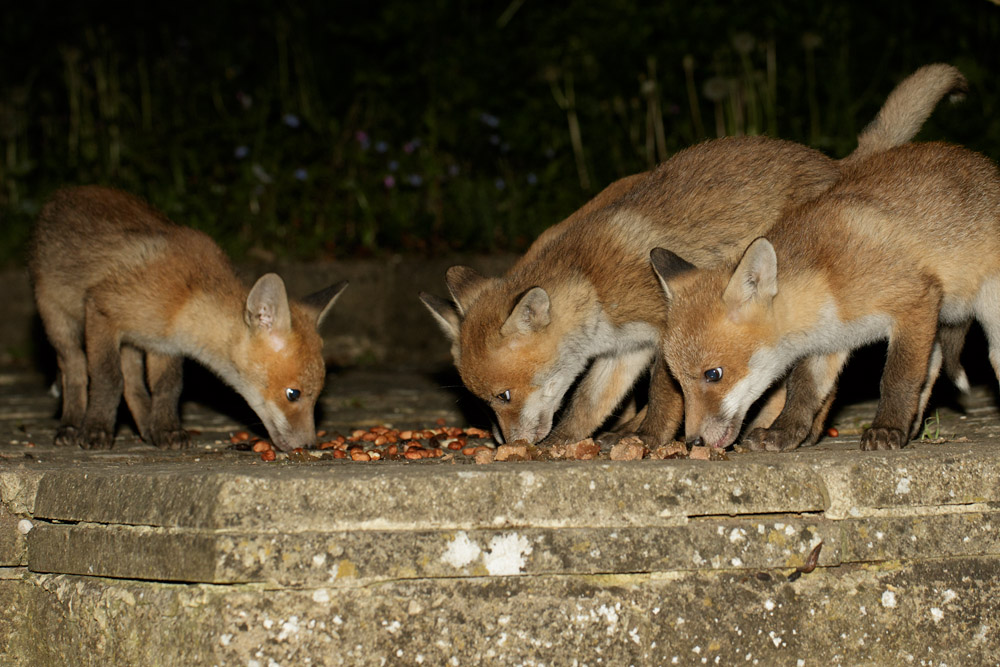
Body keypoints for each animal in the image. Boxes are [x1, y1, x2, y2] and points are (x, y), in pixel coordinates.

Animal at [29, 186, 347, 451]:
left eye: (317, 396)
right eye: (293, 394)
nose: (309, 445)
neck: (184, 301)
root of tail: (63, 192)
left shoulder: (163, 345)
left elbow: (168, 388)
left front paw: (166, 429)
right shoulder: (101, 311)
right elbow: (107, 379)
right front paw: (97, 430)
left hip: (131, 343)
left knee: (133, 385)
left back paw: (146, 428)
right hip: (59, 321)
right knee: (74, 369)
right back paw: (71, 425)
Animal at [420, 64, 968, 447]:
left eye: (504, 396)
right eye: (486, 402)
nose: (509, 442)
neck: (595, 283)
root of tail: (838, 164)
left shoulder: (661, 330)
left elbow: (666, 397)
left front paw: (648, 439)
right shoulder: (622, 350)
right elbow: (589, 403)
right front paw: (564, 441)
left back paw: (790, 430)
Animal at [649, 140, 1000, 452]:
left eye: (713, 374)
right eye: (678, 381)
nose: (693, 442)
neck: (828, 280)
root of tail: (985, 163)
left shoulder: (915, 300)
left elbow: (898, 378)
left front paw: (887, 429)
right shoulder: (828, 342)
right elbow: (803, 392)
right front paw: (784, 433)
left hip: (990, 318)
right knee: (935, 361)